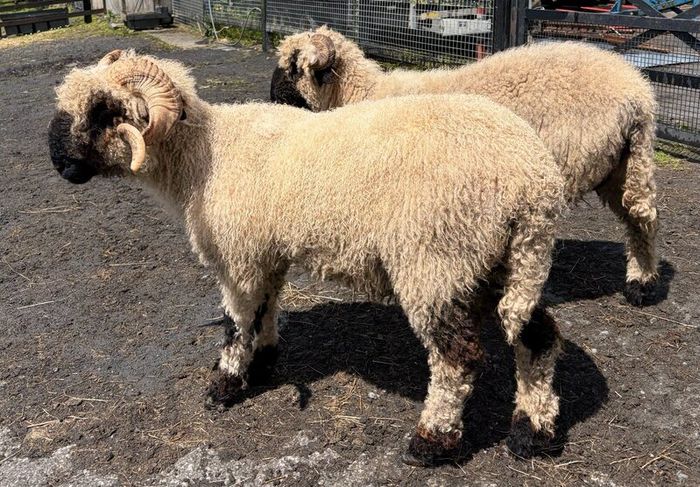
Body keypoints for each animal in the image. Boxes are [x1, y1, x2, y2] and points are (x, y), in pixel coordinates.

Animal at [49, 50, 567, 466]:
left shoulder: (238, 256)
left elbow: (235, 322)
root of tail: (533, 180)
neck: (204, 159)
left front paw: (225, 385)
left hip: (436, 261)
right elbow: (265, 309)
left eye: (103, 110)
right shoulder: (266, 253)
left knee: (457, 359)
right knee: (536, 336)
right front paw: (263, 361)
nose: (57, 160)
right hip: (509, 260)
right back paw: (532, 432)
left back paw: (431, 442)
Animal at [271, 28, 660, 307]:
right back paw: (639, 283)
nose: (271, 99)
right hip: (619, 166)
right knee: (639, 220)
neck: (363, 94)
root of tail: (639, 93)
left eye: (293, 66)